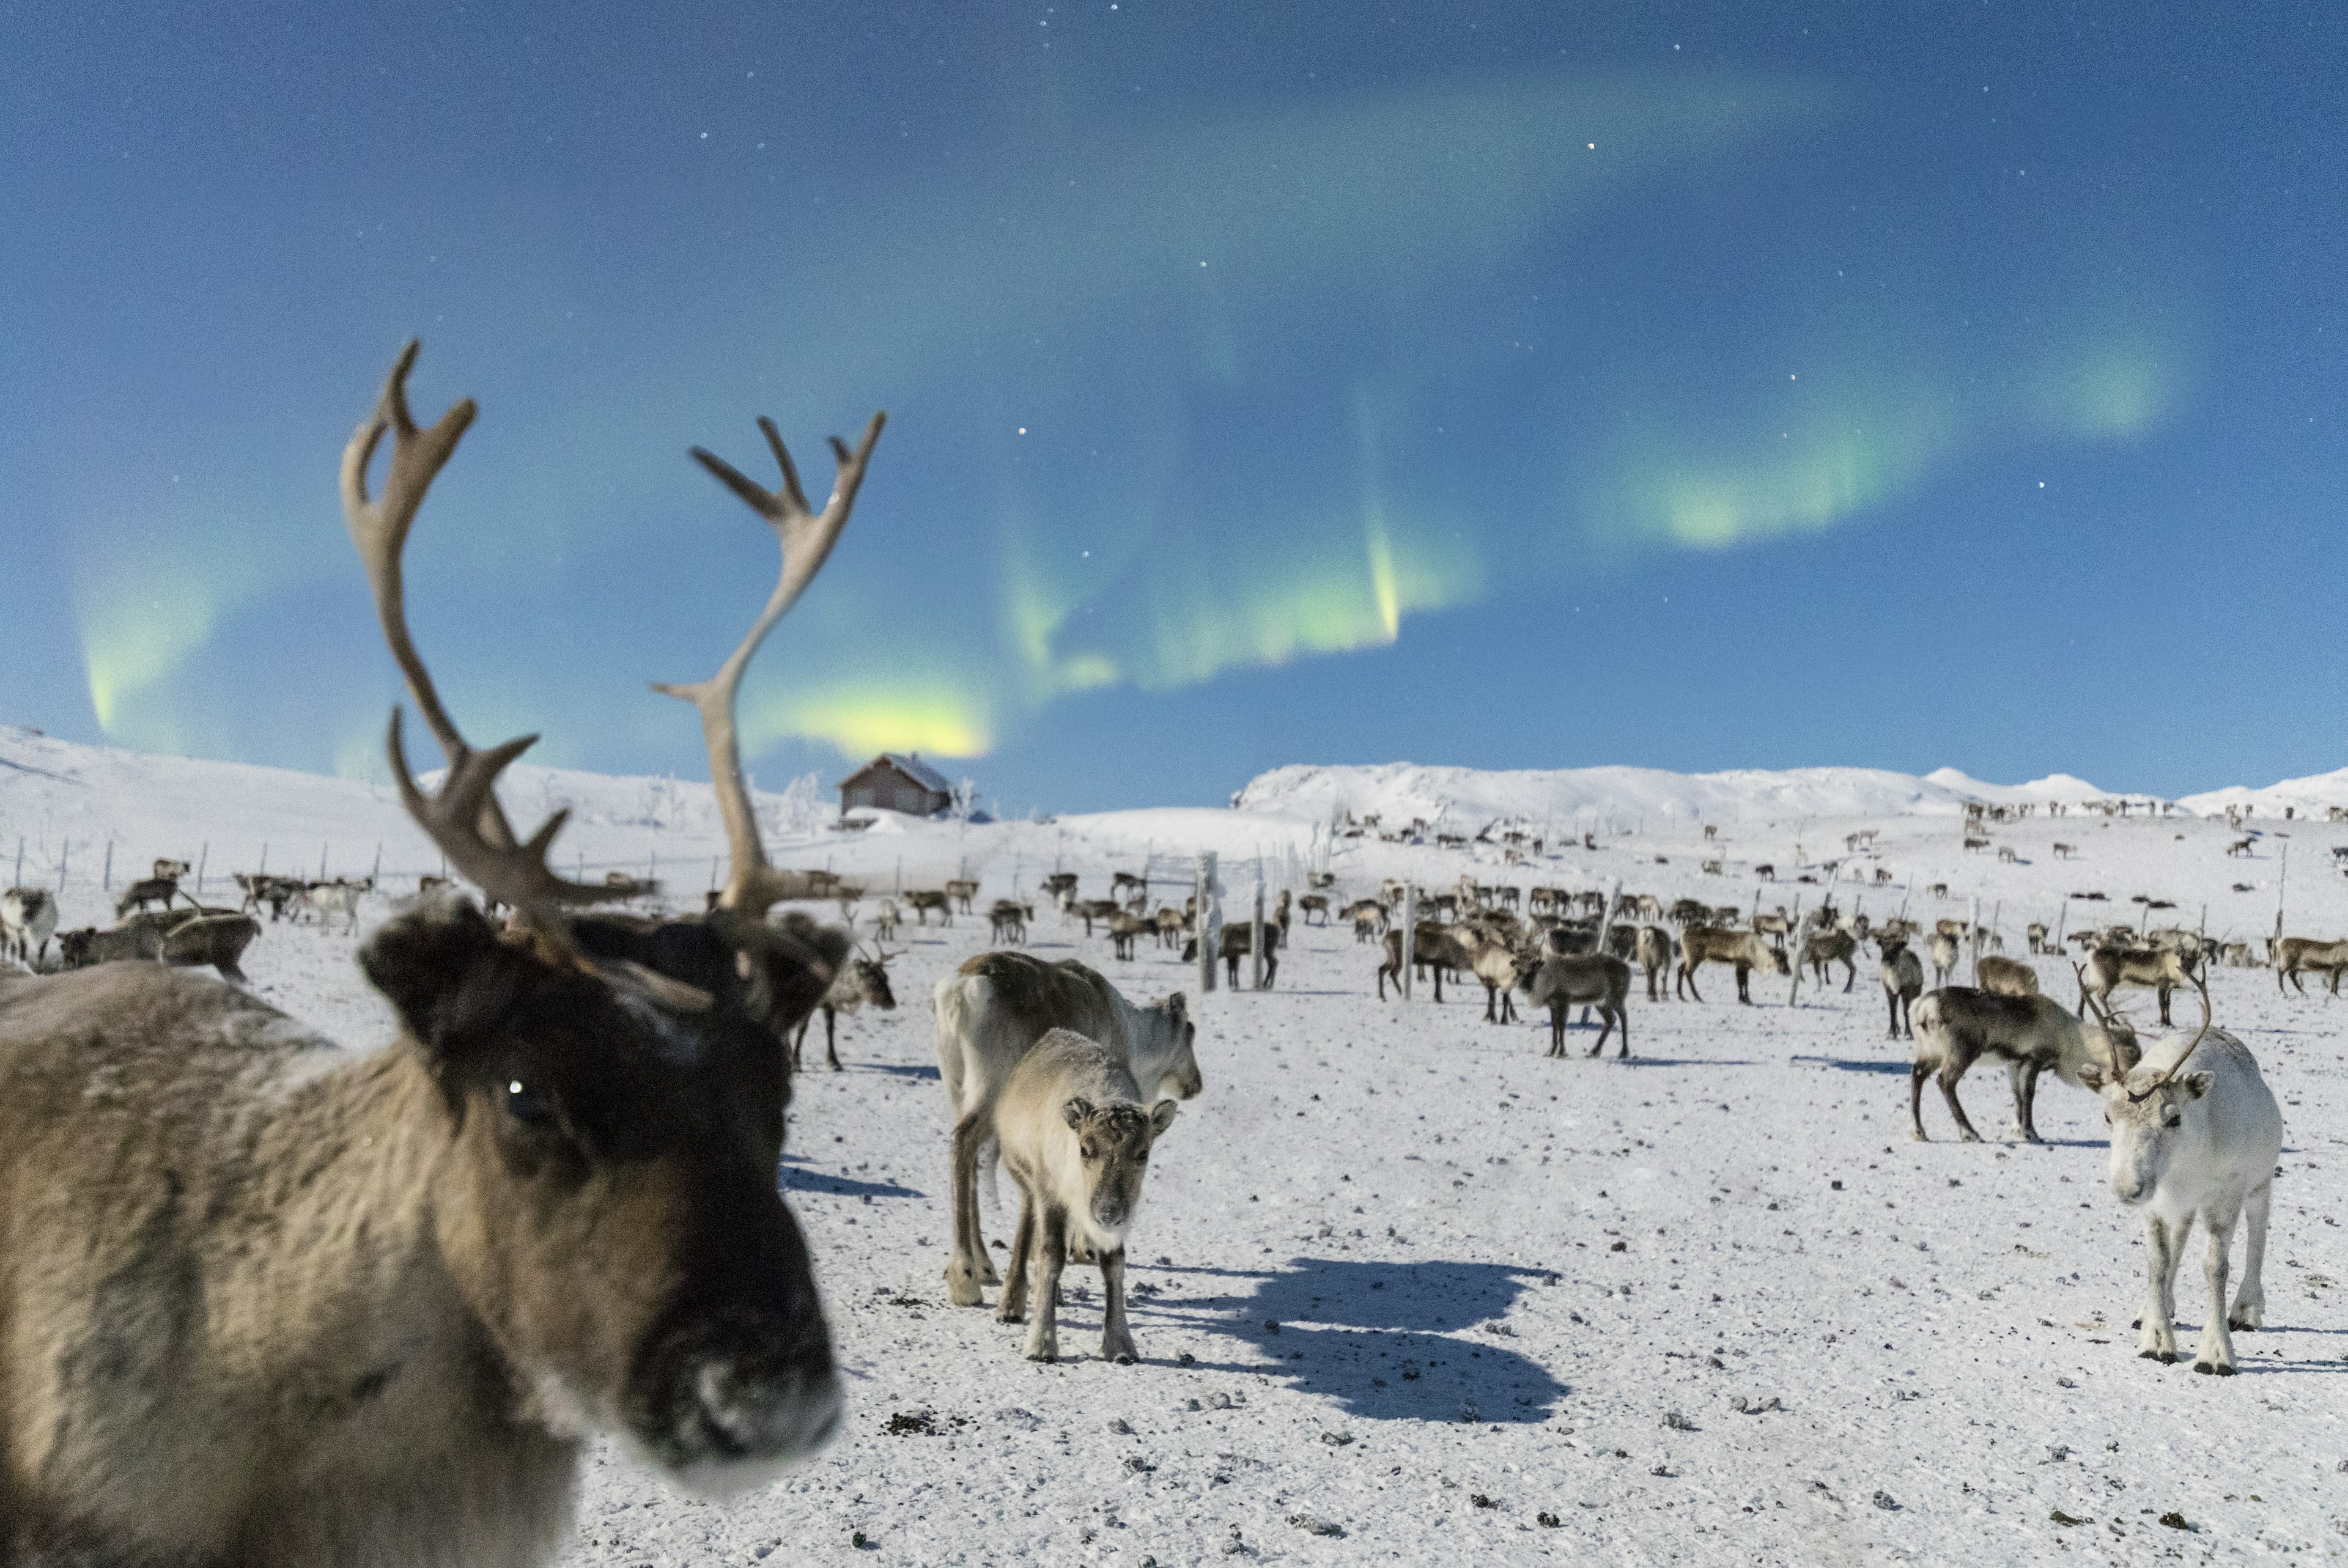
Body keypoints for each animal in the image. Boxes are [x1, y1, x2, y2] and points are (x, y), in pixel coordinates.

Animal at [991, 1028, 1174, 1361]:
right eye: (1085, 1149)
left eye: (1143, 1153)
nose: (1107, 1212)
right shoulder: (1050, 1194)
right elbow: (1051, 1256)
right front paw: (1041, 1343)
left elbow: (1114, 1264)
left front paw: (1120, 1345)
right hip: (1023, 1177)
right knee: (1026, 1225)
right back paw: (1011, 1305)